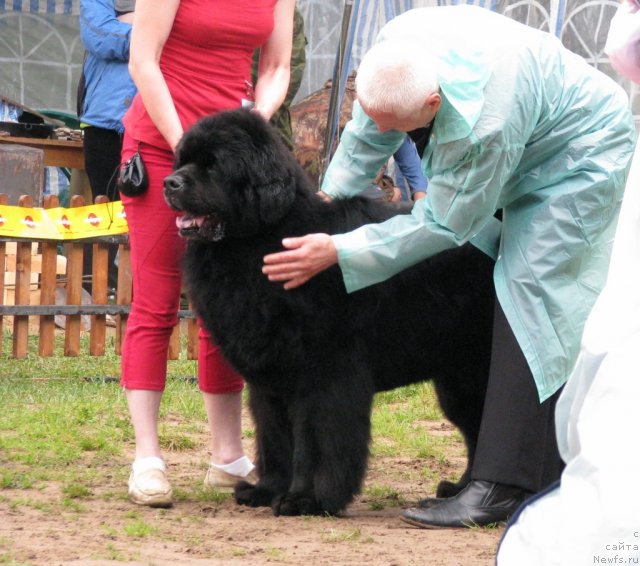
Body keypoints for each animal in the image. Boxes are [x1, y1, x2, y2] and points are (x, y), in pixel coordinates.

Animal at [162, 107, 492, 520]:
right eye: (183, 160)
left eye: (214, 164)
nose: (169, 183)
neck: (260, 242)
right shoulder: (270, 380)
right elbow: (274, 438)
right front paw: (267, 490)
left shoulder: (324, 375)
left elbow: (316, 440)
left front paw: (308, 499)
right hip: (458, 376)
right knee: (476, 429)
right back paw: (456, 492)